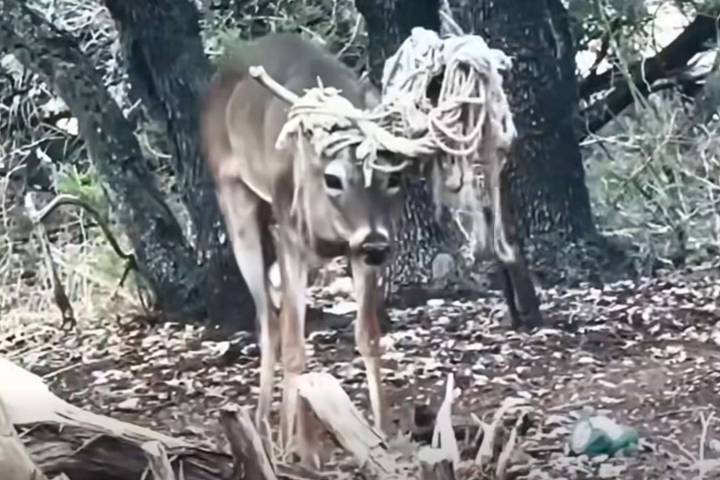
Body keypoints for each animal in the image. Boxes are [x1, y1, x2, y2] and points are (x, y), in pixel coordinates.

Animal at [199, 33, 406, 465]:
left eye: (393, 175)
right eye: (334, 178)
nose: (377, 243)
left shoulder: (358, 252)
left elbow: (368, 335)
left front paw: (382, 434)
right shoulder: (289, 236)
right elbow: (296, 347)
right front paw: (305, 453)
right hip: (236, 199)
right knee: (269, 321)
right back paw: (265, 429)